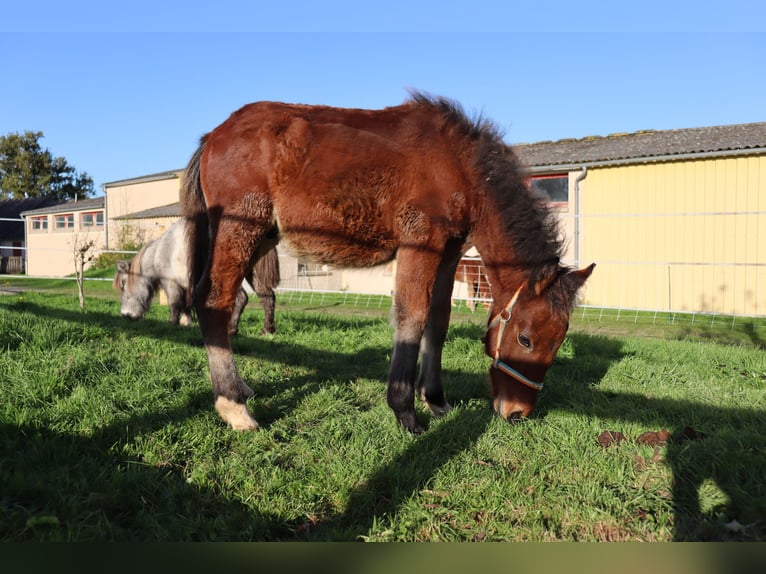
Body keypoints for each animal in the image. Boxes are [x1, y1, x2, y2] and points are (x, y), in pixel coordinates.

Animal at [112, 219, 280, 338]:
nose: (125, 315)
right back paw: (267, 330)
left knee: (241, 298)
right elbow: (186, 304)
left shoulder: (170, 283)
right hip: (252, 274)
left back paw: (231, 330)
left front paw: (172, 323)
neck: (160, 252)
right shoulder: (187, 284)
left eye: (123, 285)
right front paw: (187, 322)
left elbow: (174, 303)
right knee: (267, 297)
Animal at [183, 91, 596, 432]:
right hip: (241, 230)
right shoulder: (420, 243)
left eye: (559, 342)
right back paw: (233, 406)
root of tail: (213, 137)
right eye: (525, 339)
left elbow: (438, 321)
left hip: (261, 236)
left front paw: (436, 400)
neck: (458, 163)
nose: (517, 413)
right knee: (214, 298)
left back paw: (241, 388)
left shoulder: (449, 252)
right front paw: (405, 411)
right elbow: (412, 316)